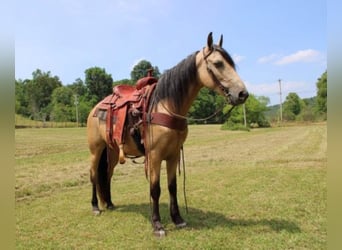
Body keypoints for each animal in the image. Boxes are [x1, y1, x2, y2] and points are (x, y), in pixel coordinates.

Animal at [86, 32, 248, 235]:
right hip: (96, 150)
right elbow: (155, 189)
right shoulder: (155, 156)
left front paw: (178, 219)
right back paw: (95, 207)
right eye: (218, 63)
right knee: (93, 175)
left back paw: (109, 203)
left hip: (113, 151)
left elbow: (172, 187)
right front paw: (157, 224)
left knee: (107, 175)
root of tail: (96, 108)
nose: (242, 94)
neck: (166, 106)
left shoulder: (173, 155)